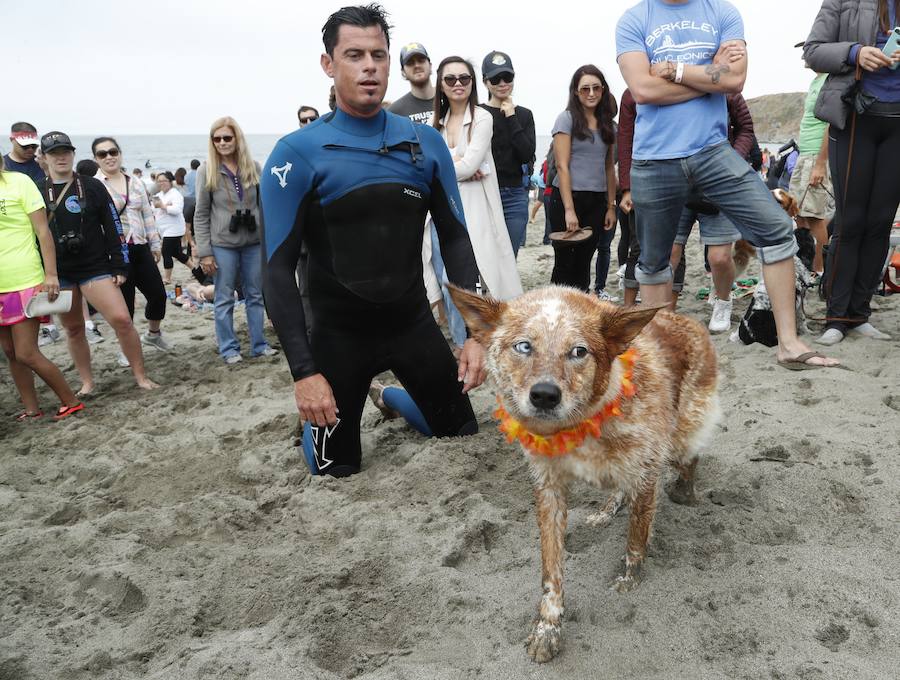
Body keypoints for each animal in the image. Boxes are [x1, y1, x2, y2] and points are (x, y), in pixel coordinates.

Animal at [450, 286, 724, 664]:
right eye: (524, 346)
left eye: (579, 351)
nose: (545, 395)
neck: (581, 422)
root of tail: (685, 319)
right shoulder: (548, 488)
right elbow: (551, 572)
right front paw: (547, 629)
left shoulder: (646, 469)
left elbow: (636, 540)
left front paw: (630, 579)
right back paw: (607, 511)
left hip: (681, 436)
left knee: (689, 458)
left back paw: (685, 492)